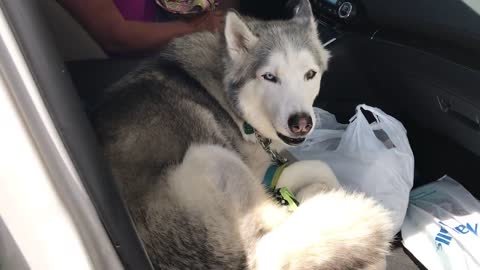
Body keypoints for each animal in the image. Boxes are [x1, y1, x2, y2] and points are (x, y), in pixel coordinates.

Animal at [94, 1, 394, 268]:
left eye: (310, 74)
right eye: (269, 77)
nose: (301, 124)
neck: (233, 100)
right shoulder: (258, 171)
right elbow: (319, 166)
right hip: (212, 156)